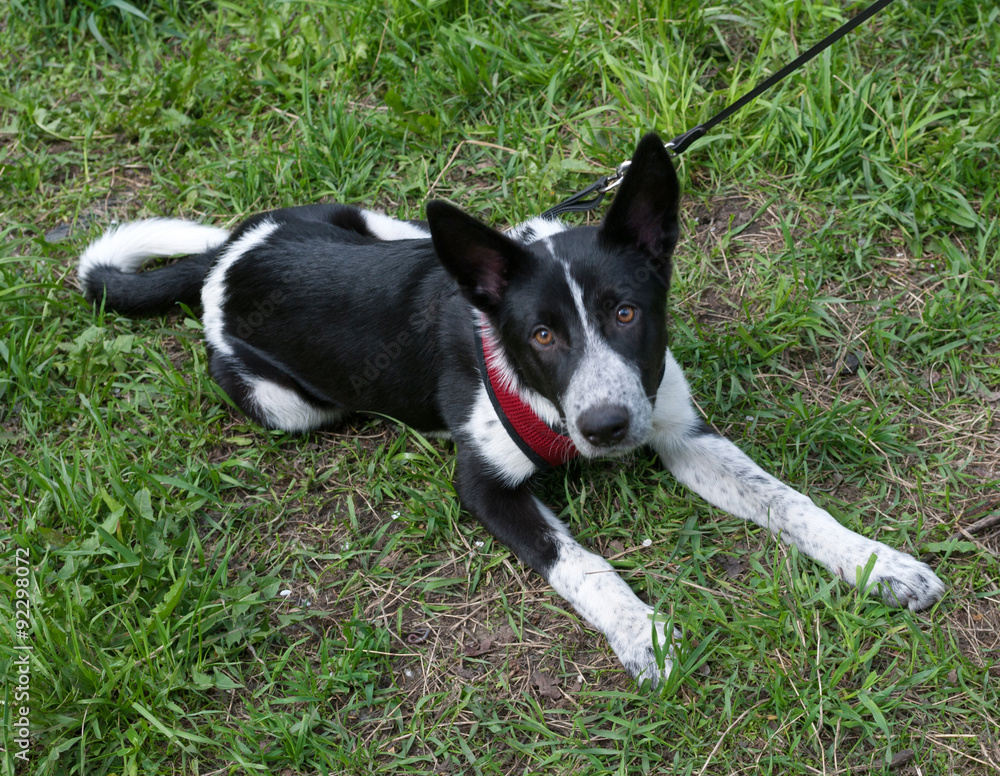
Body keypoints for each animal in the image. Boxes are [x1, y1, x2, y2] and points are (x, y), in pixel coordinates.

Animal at [80, 135, 944, 684]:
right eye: (541, 334)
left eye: (626, 312)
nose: (607, 431)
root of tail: (222, 260)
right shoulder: (484, 486)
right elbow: (581, 563)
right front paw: (642, 634)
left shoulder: (677, 428)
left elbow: (787, 501)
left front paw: (877, 563)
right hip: (287, 404)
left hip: (374, 218)